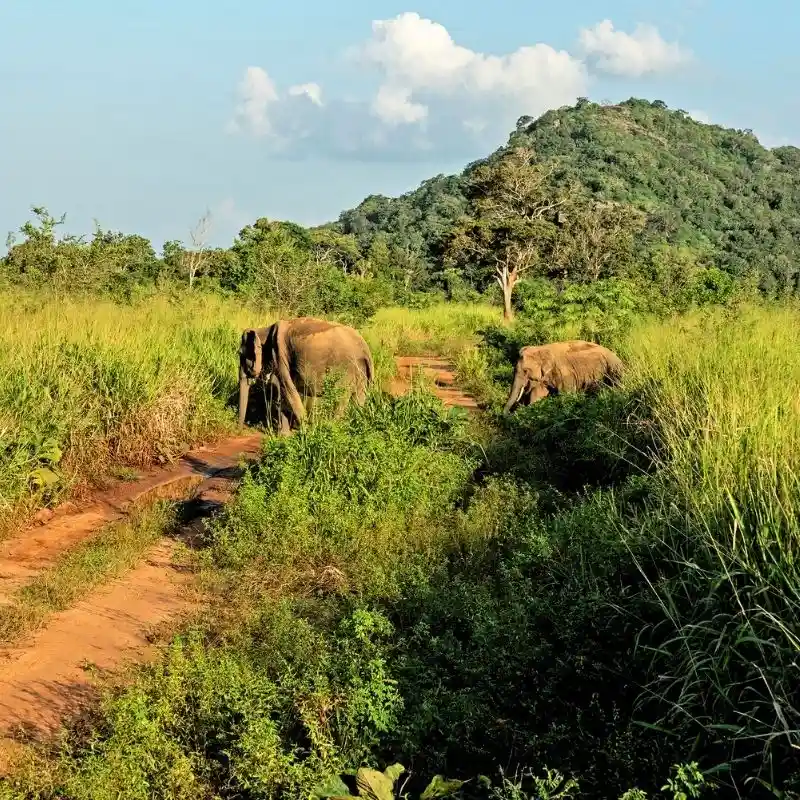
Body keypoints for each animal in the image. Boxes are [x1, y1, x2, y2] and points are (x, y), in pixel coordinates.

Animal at [238, 317, 374, 432]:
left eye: (240, 354)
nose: (241, 428)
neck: (264, 330)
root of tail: (365, 349)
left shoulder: (279, 355)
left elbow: (287, 389)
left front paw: (305, 432)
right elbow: (280, 391)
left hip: (345, 369)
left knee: (340, 398)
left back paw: (333, 427)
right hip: (360, 369)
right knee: (359, 398)